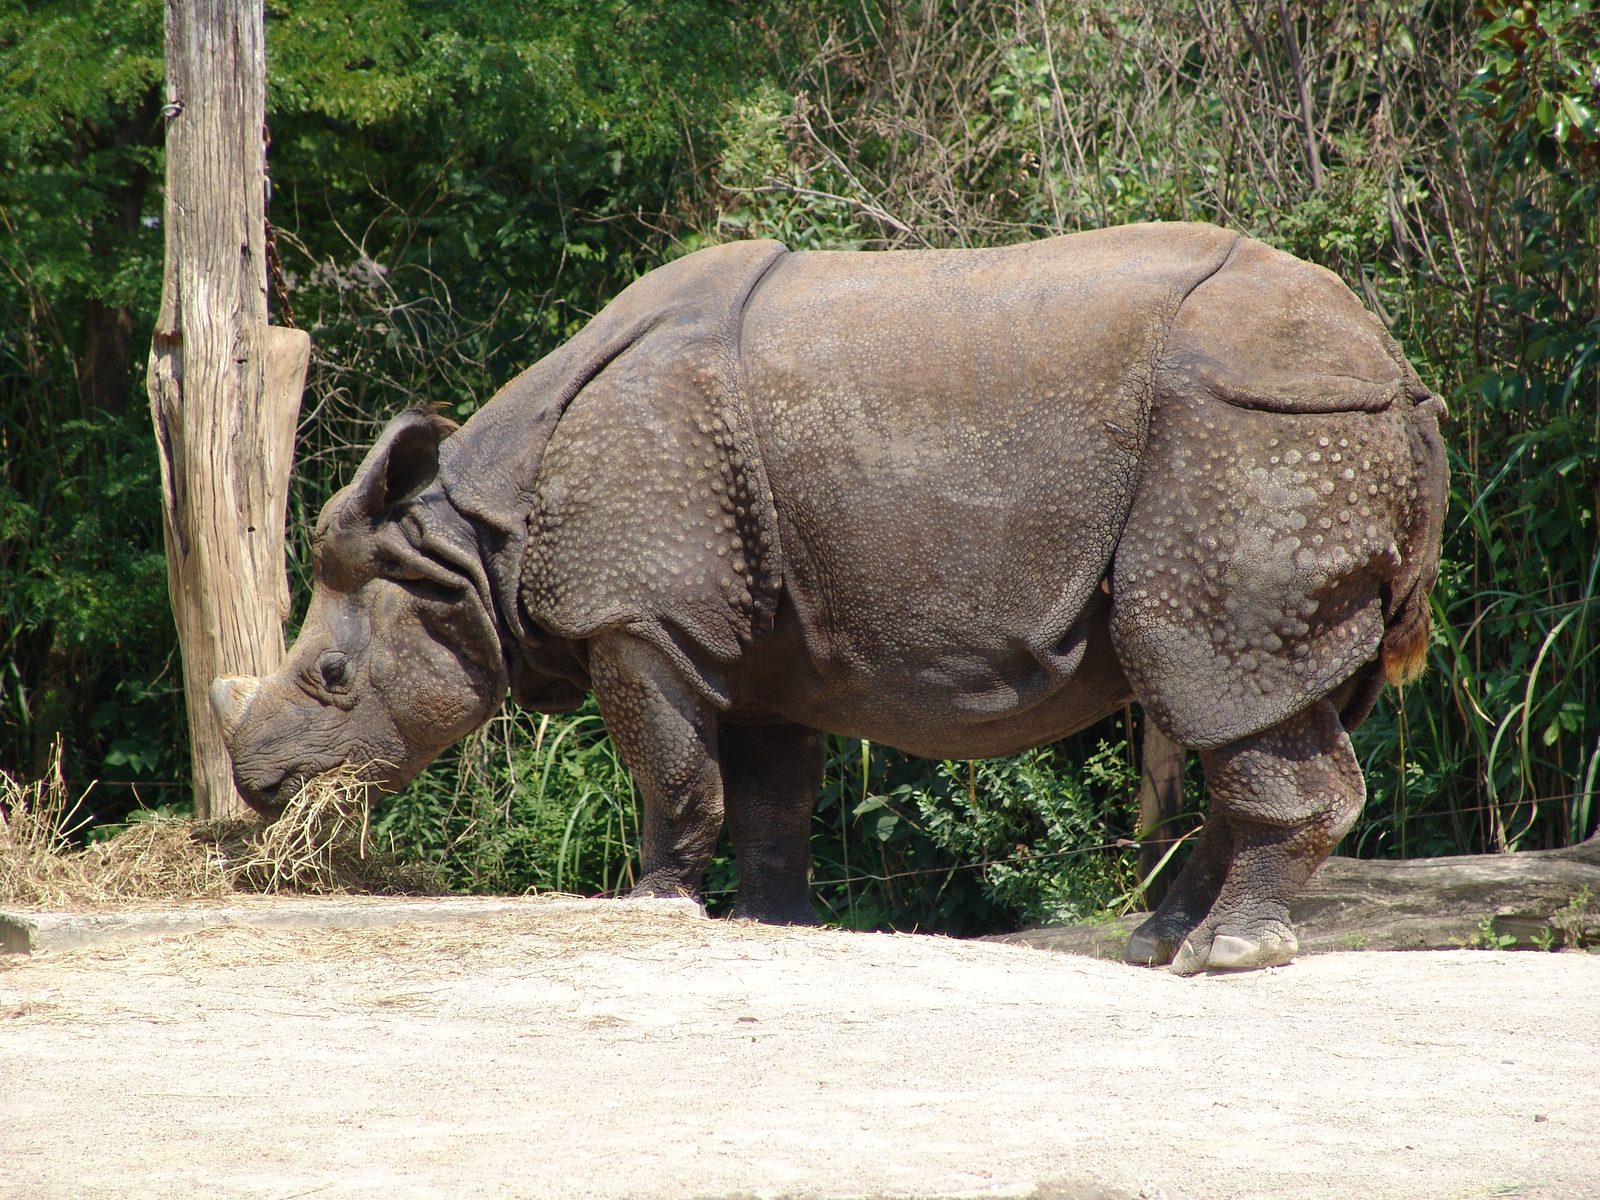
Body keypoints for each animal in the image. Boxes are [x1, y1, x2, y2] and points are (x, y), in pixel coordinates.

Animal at [211, 222, 1447, 973]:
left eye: (330, 677)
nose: (261, 788)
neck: (473, 540)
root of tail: (1398, 374)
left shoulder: (640, 617)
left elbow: (671, 769)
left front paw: (653, 905)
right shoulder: (753, 639)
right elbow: (768, 795)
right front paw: (772, 922)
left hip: (1257, 431)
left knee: (1207, 666)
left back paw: (1222, 957)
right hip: (1295, 432)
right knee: (1264, 693)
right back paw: (1162, 945)